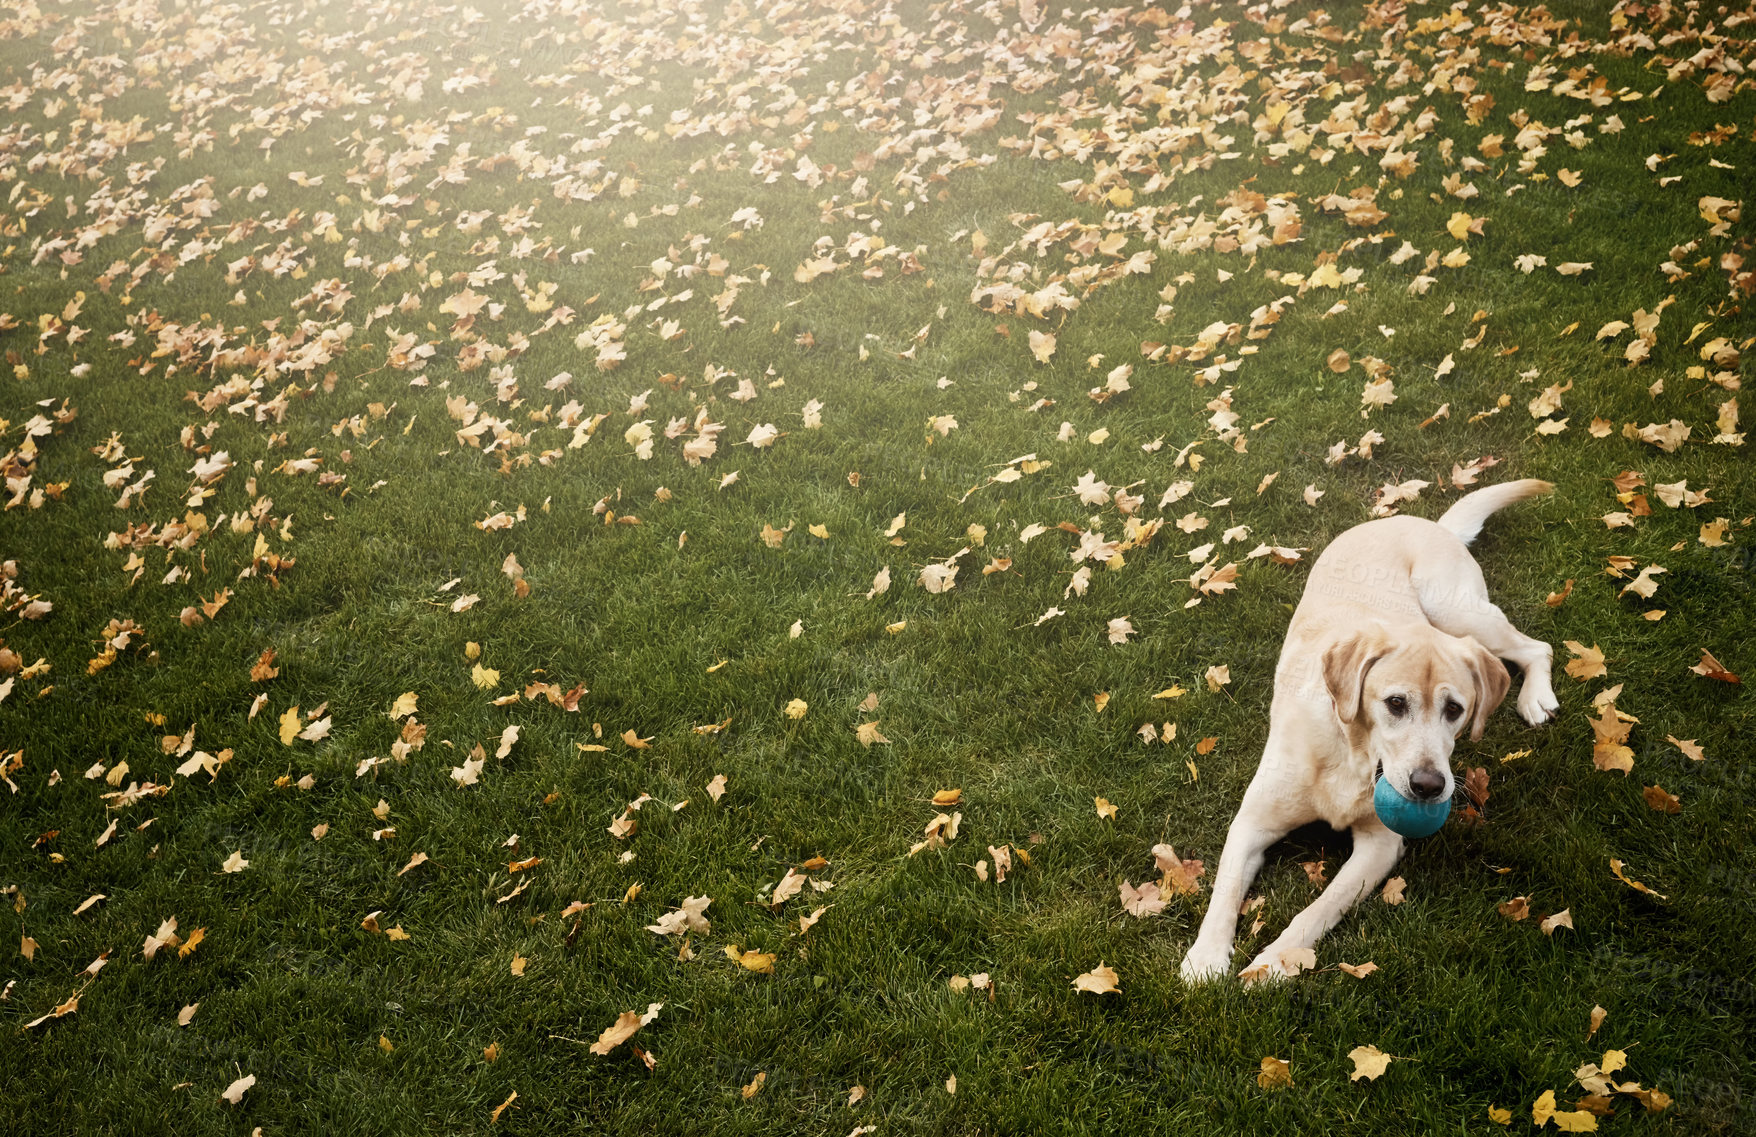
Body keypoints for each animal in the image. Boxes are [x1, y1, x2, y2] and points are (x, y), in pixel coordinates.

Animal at [1180, 474, 1552, 984]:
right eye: (1395, 703)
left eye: (1455, 710)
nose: (1428, 786)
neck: (1350, 755)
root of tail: (1426, 523)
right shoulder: (1252, 822)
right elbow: (1225, 889)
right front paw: (1205, 957)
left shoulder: (1380, 845)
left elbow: (1320, 907)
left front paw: (1275, 962)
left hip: (1458, 612)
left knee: (1538, 647)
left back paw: (1537, 697)